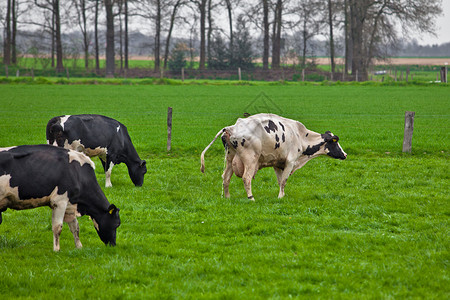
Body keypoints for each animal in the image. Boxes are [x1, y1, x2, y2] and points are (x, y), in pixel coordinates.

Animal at [201, 113, 348, 200]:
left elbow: (280, 181)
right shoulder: (290, 162)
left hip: (230, 158)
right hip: (250, 159)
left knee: (225, 178)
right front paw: (280, 197)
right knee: (246, 178)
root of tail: (231, 127)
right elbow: (284, 180)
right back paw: (251, 198)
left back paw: (227, 197)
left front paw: (282, 194)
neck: (300, 135)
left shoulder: (278, 164)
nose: (345, 154)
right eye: (336, 143)